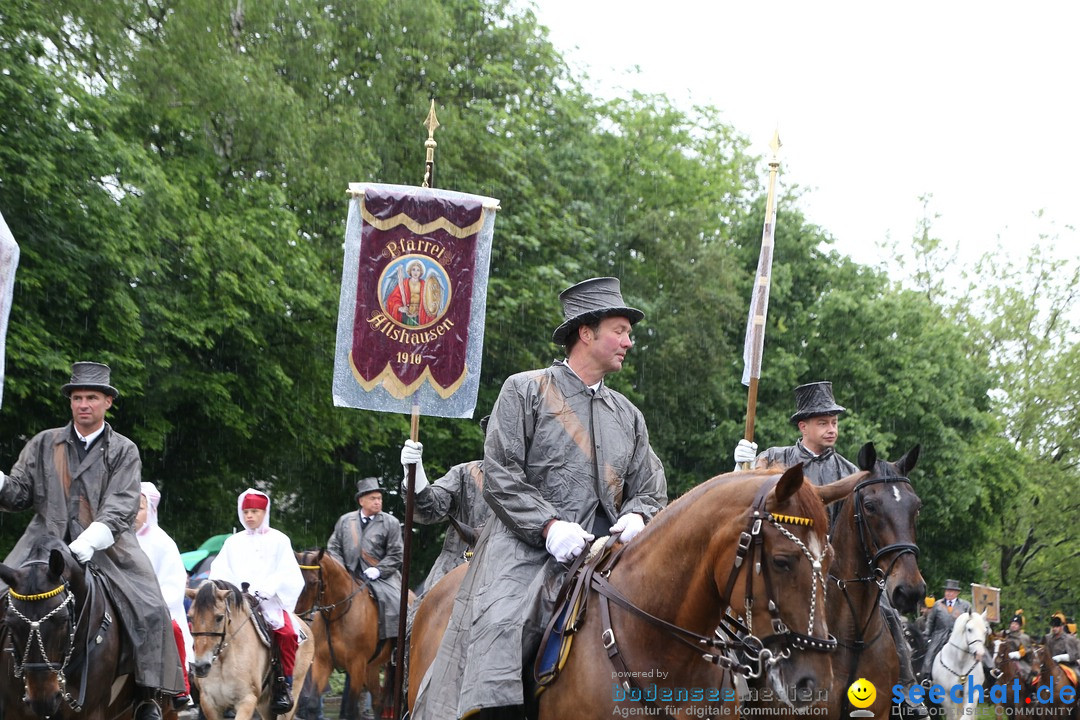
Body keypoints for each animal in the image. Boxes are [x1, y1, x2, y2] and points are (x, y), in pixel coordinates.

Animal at [293, 548, 395, 716]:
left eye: (313, 582)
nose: (298, 615)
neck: (338, 616)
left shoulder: (356, 666)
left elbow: (350, 709)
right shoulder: (322, 662)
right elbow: (313, 704)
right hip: (372, 668)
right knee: (378, 701)